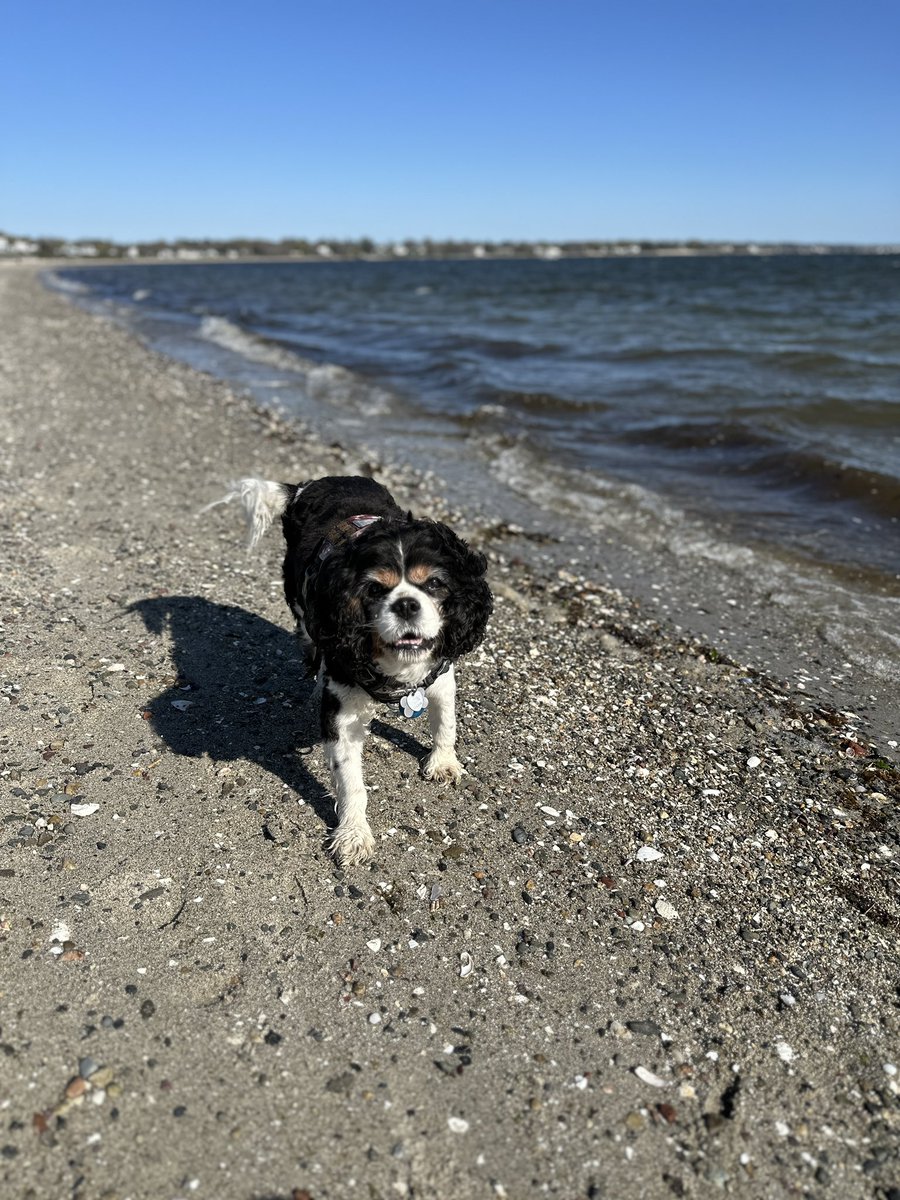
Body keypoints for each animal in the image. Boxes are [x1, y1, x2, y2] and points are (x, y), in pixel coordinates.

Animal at [211, 472, 494, 868]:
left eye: (435, 583)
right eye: (374, 588)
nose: (407, 604)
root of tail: (310, 484)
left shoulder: (439, 673)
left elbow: (445, 722)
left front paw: (443, 762)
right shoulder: (342, 712)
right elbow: (351, 783)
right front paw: (353, 834)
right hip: (299, 600)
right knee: (308, 637)